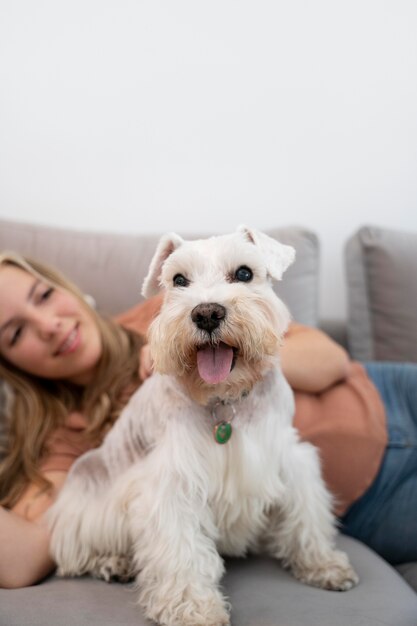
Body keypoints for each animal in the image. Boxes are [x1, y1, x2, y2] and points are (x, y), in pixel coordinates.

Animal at [47, 227, 356, 624]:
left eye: (244, 273)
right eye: (179, 280)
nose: (207, 313)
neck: (224, 400)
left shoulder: (290, 459)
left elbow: (306, 515)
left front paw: (322, 563)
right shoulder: (172, 486)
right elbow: (182, 553)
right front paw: (193, 609)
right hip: (87, 503)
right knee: (76, 555)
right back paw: (113, 563)